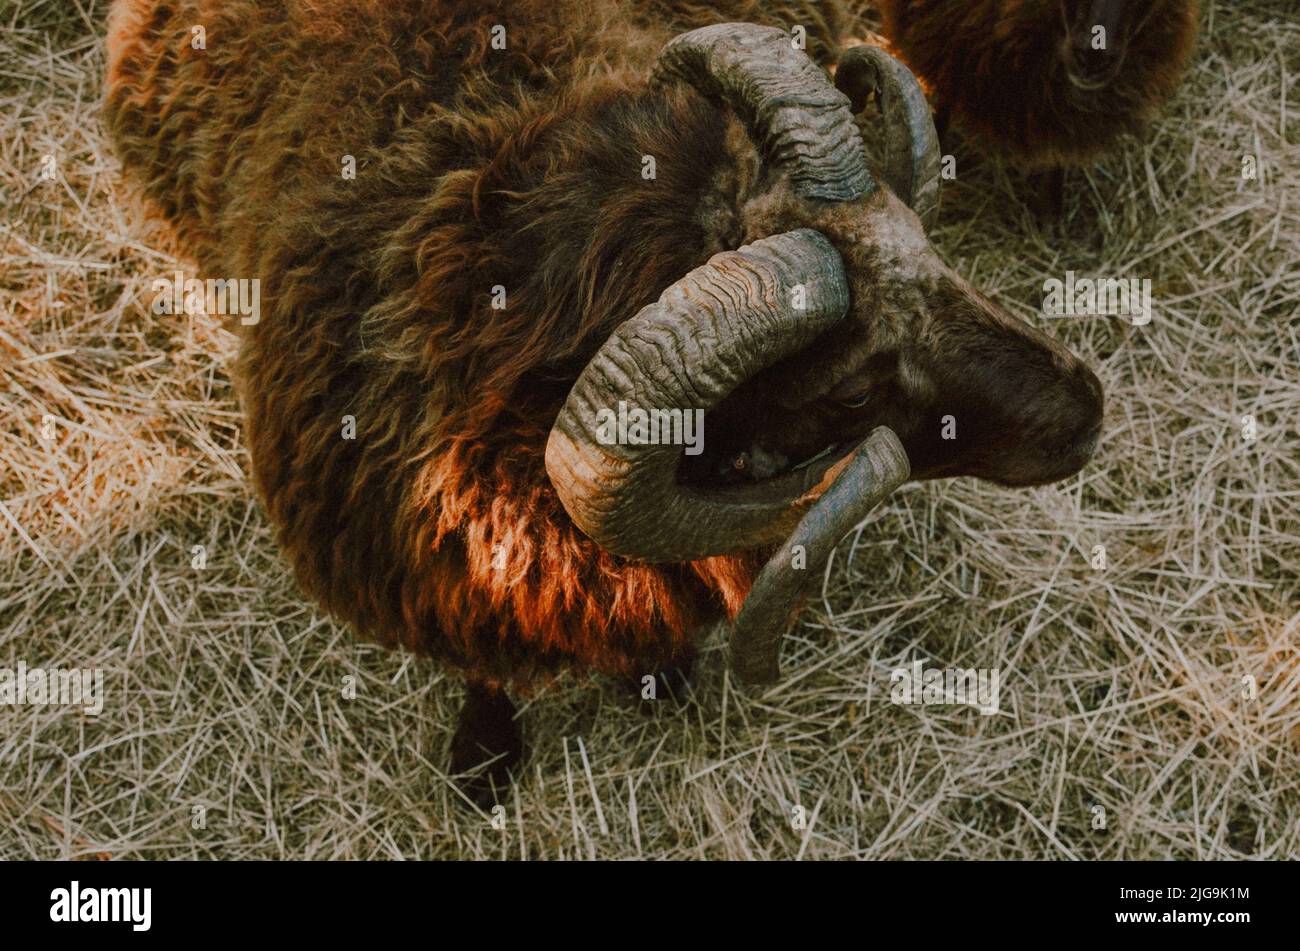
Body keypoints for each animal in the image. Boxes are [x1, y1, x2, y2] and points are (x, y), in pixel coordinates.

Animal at [106, 0, 1107, 805]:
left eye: (932, 256)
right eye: (853, 385)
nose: (1086, 407)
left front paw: (662, 677)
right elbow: (482, 670)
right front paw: (483, 762)